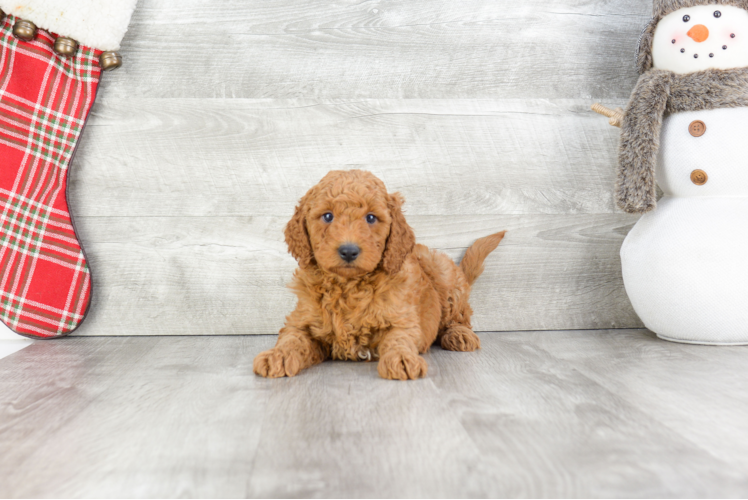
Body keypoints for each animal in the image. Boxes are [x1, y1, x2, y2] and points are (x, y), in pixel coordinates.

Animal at [254, 170, 506, 380]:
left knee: (460, 316)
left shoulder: (402, 319)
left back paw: (459, 335)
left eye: (371, 218)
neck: (347, 286)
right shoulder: (302, 321)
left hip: (442, 272)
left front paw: (402, 359)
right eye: (327, 216)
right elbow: (292, 338)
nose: (348, 251)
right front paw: (277, 355)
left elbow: (399, 339)